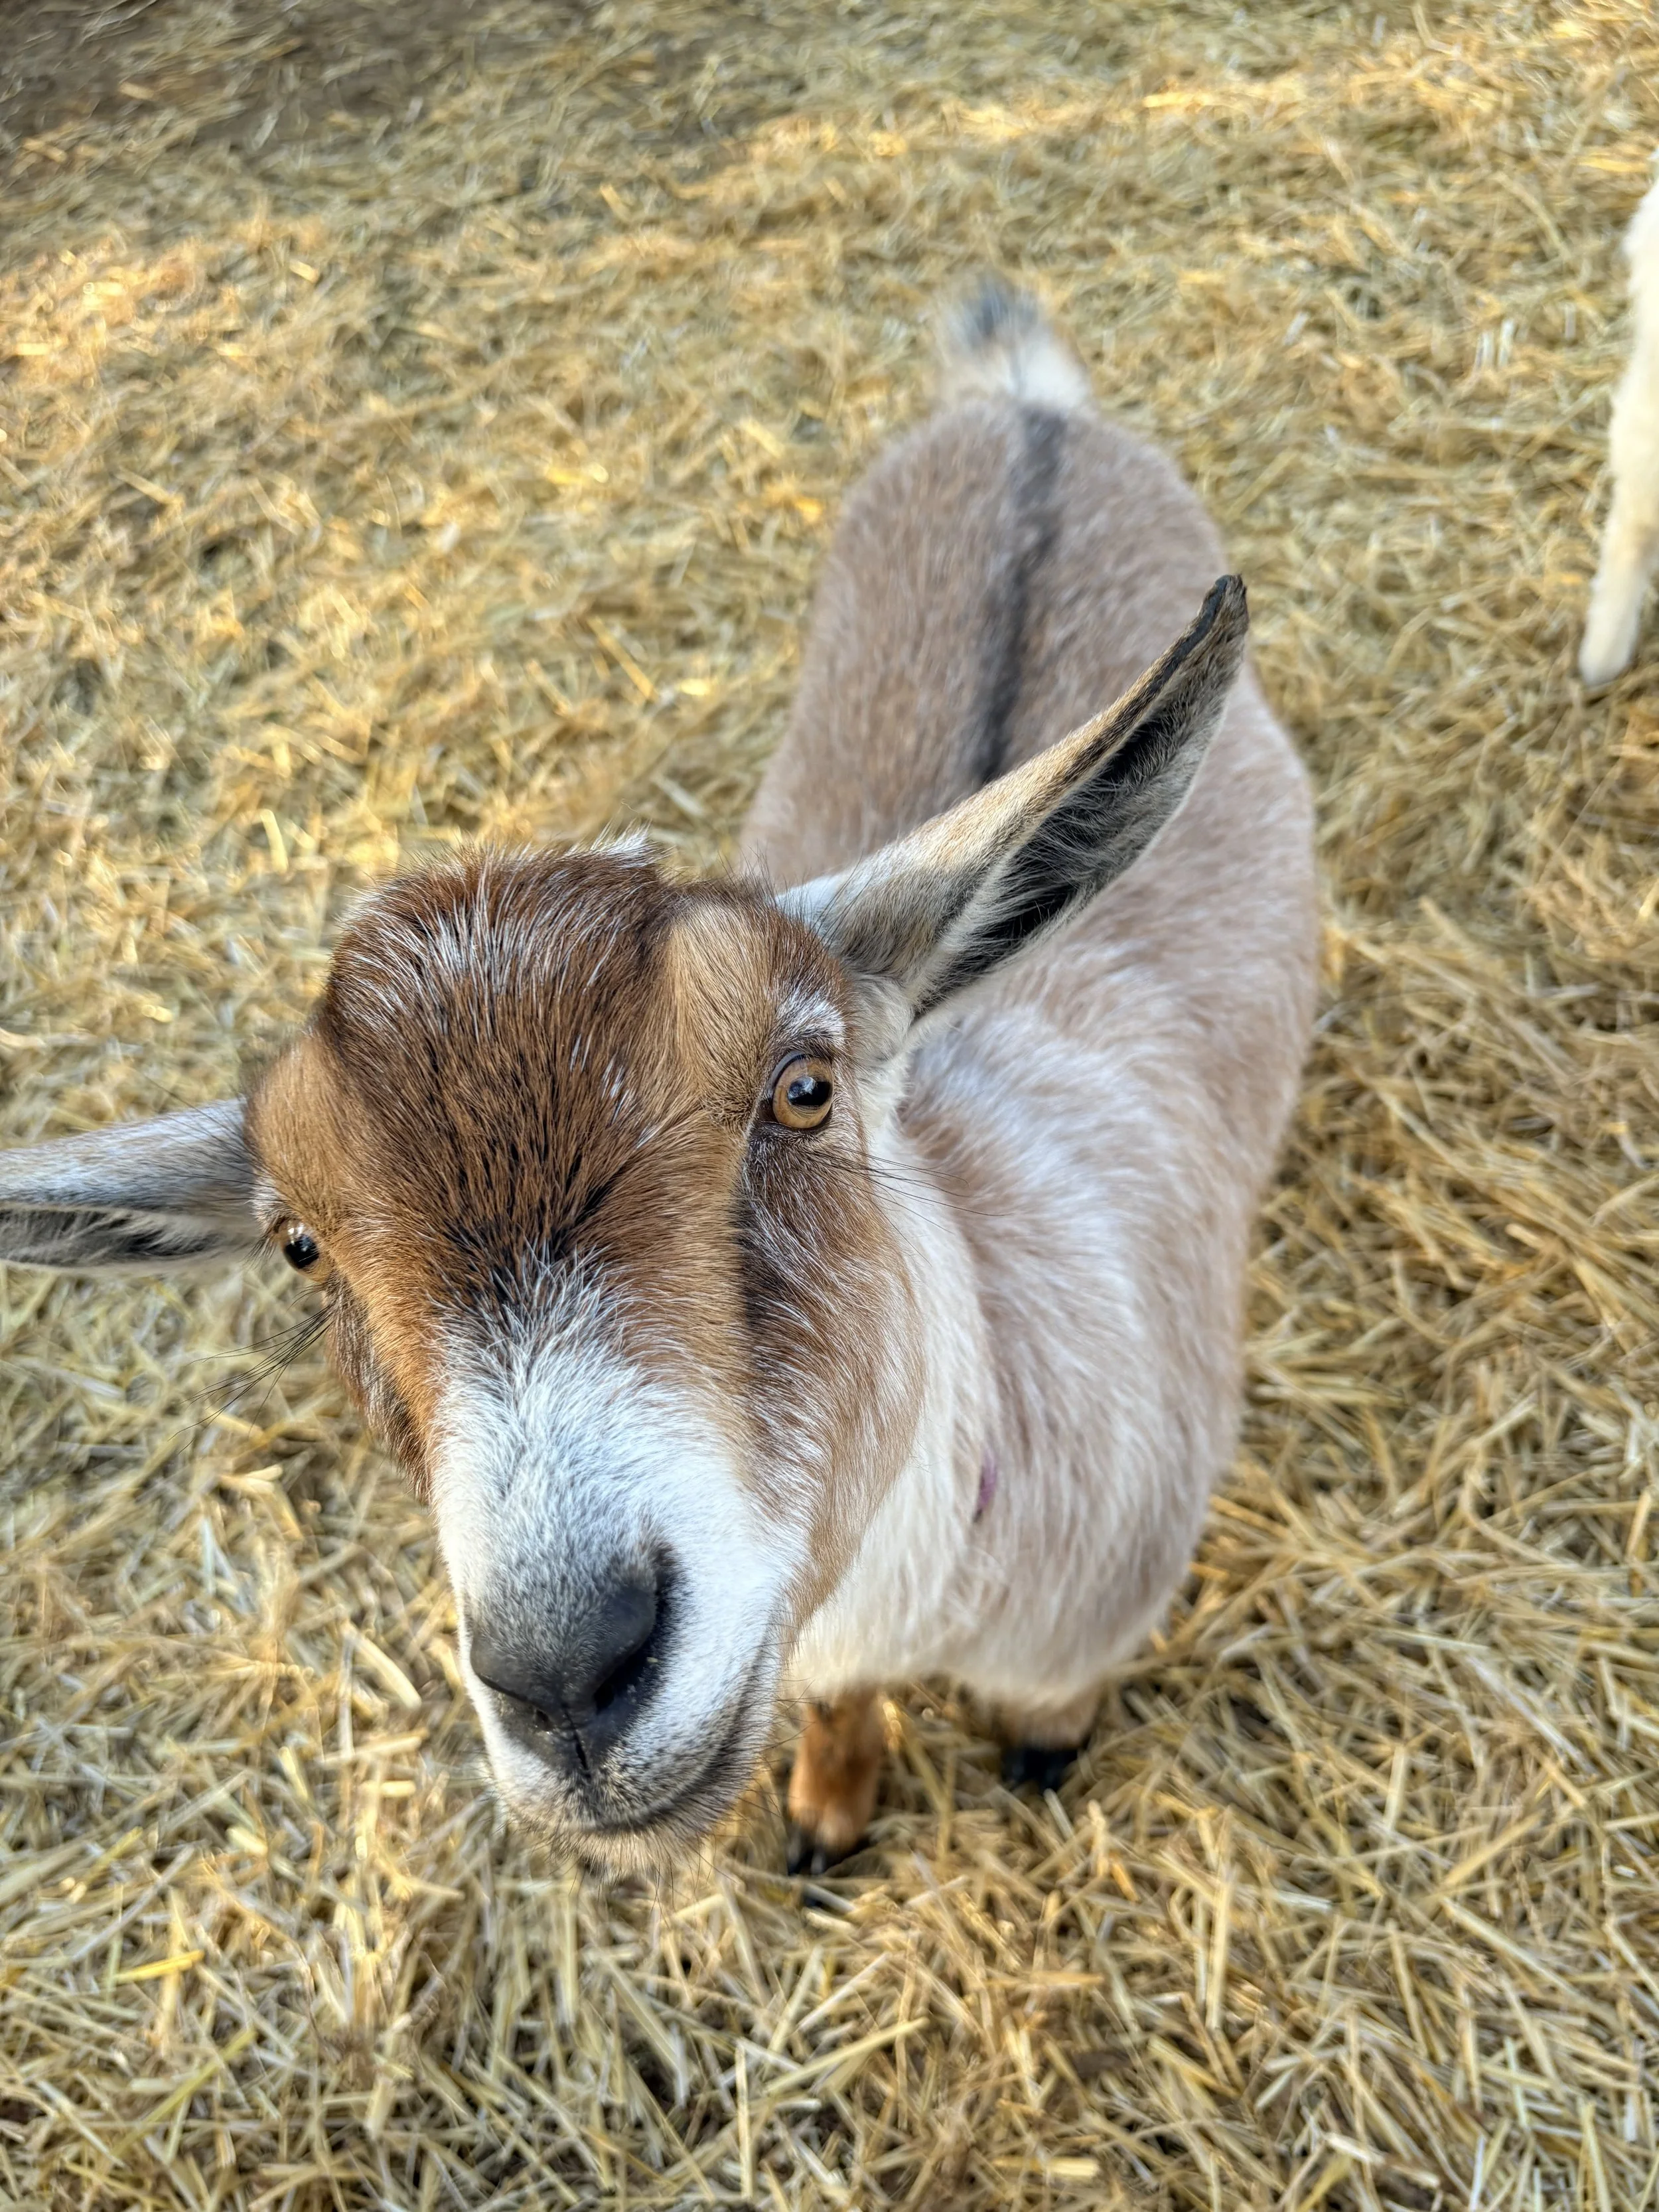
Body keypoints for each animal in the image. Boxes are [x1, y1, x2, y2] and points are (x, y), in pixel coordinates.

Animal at [0, 284, 1317, 1872]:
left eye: (803, 1086)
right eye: (300, 1243)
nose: (568, 1672)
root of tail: (1026, 411)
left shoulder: (1090, 1622)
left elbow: (1049, 1715)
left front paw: (1039, 1759)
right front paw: (826, 1812)